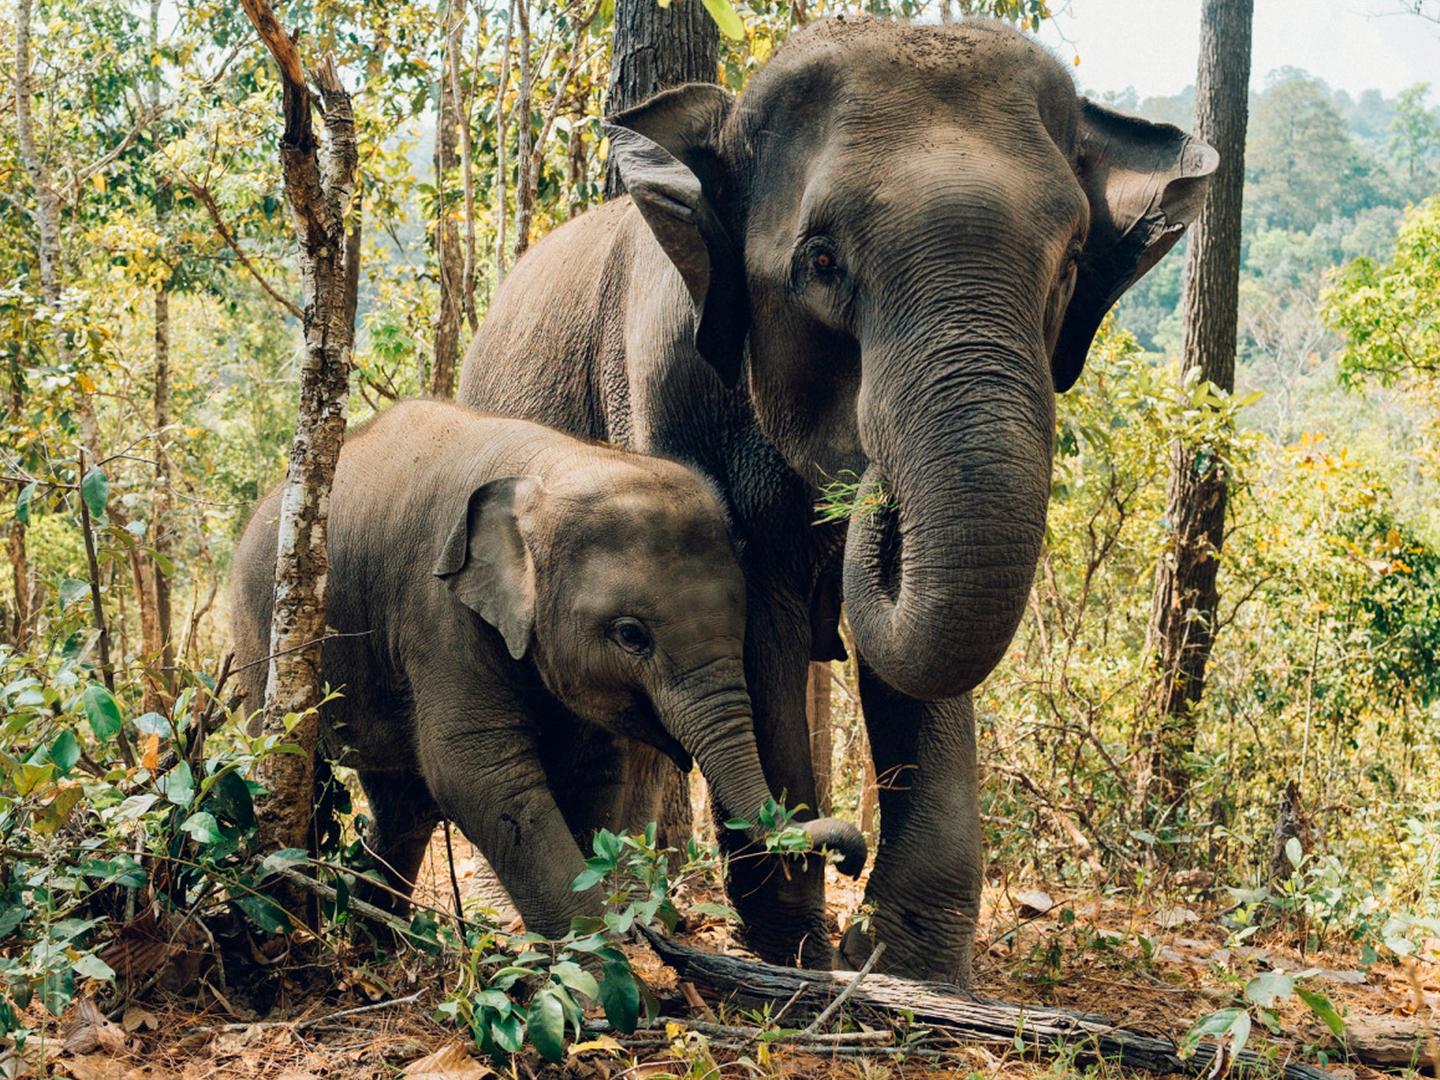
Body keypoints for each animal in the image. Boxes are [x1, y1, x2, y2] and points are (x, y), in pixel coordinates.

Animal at [233, 403, 864, 944]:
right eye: (631, 634)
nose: (850, 860)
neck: (552, 466)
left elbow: (592, 772)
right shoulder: (440, 611)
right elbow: (476, 771)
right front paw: (603, 978)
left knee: (403, 804)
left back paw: (379, 943)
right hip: (262, 635)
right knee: (297, 768)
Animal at [463, 16, 1215, 984]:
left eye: (1070, 266)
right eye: (820, 262)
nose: (872, 486)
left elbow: (919, 658)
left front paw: (906, 967)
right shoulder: (667, 388)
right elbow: (757, 624)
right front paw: (799, 953)